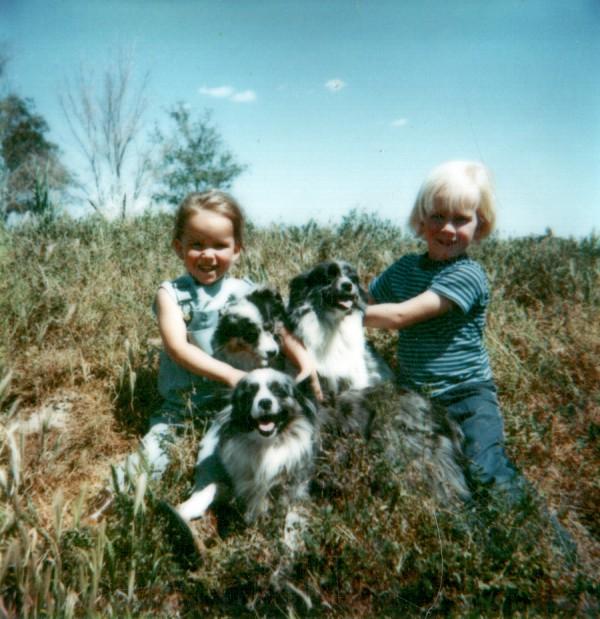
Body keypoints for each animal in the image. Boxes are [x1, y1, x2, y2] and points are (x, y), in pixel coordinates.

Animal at [175, 370, 318, 524]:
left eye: (278, 391)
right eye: (249, 393)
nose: (265, 402)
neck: (266, 445)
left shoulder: (295, 487)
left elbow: (292, 511)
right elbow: (215, 485)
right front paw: (188, 508)